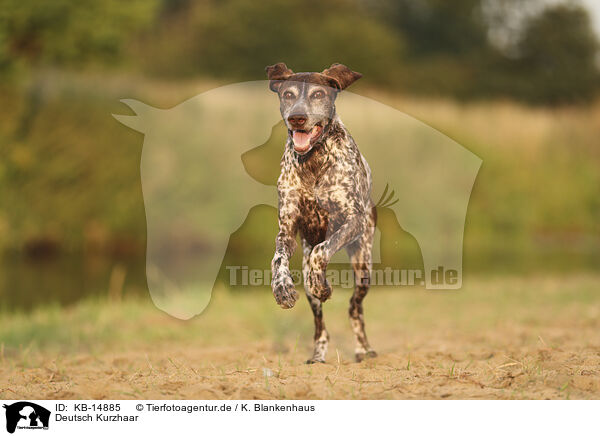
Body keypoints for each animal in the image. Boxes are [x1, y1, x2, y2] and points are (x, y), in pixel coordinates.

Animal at [266, 63, 378, 362]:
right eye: (288, 94)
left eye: (318, 94)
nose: (297, 118)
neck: (313, 161)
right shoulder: (287, 229)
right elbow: (278, 259)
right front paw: (282, 289)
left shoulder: (352, 220)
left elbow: (322, 251)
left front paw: (322, 283)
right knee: (320, 325)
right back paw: (318, 354)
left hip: (363, 264)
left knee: (354, 307)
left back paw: (363, 349)